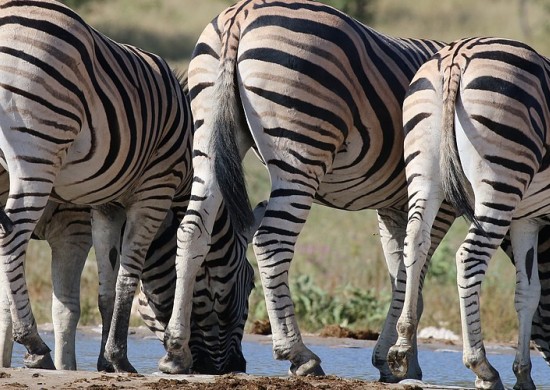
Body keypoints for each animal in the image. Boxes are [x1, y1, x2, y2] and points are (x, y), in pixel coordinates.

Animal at [0, 0, 192, 372]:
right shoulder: (155, 189)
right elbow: (127, 278)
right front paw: (120, 358)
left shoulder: (106, 205)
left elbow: (107, 286)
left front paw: (105, 360)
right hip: (39, 148)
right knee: (10, 237)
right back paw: (33, 343)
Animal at [158, 0, 458, 380]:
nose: (232, 366)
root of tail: (241, 12)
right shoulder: (439, 202)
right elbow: (413, 280)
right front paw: (400, 362)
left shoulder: (393, 207)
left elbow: (404, 279)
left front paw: (399, 363)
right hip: (300, 151)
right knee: (271, 240)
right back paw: (299, 355)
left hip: (208, 134)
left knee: (192, 231)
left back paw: (176, 352)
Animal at [390, 35, 550, 386]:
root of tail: (458, 54)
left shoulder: (526, 220)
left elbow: (528, 292)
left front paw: (524, 376)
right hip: (501, 176)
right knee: (468, 258)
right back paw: (482, 367)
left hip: (423, 172)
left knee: (415, 242)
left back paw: (402, 345)